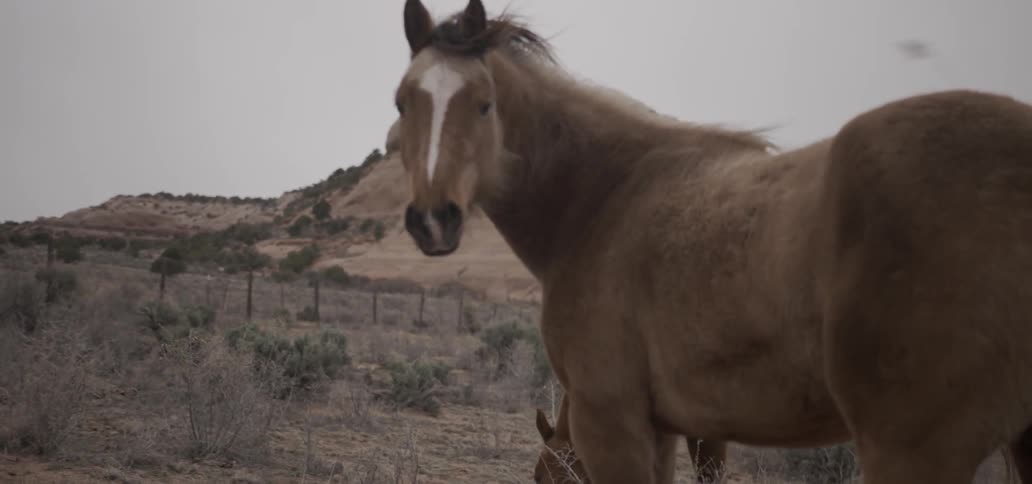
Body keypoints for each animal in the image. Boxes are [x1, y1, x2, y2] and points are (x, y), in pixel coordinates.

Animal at [388, 1, 1032, 482]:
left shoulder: (614, 425)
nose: (434, 220)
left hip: (913, 451)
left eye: (484, 104)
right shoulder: (685, 430)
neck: (604, 199)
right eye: (402, 101)